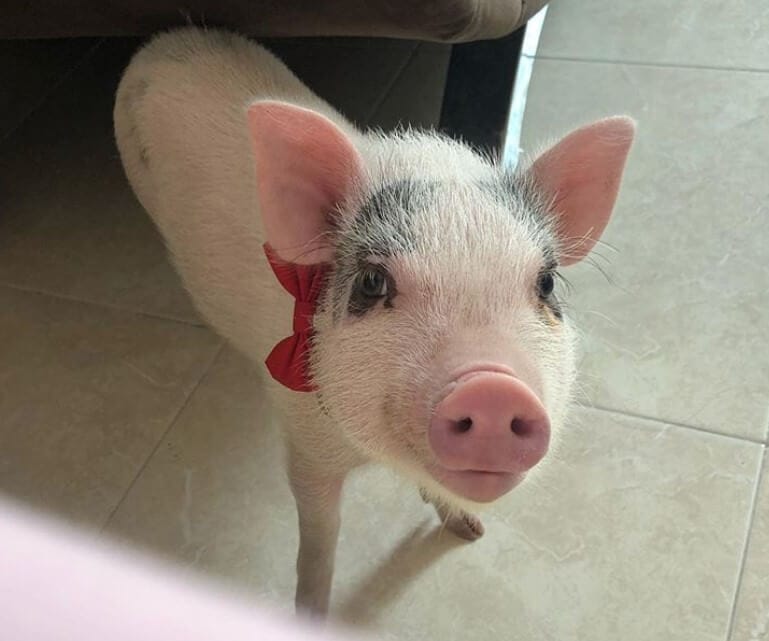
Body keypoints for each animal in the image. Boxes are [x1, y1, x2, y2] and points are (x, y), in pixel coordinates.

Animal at [113, 26, 635, 616]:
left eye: (546, 283)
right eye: (371, 282)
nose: (493, 388)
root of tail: (166, 39)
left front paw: (469, 532)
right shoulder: (306, 447)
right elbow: (319, 540)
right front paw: (309, 612)